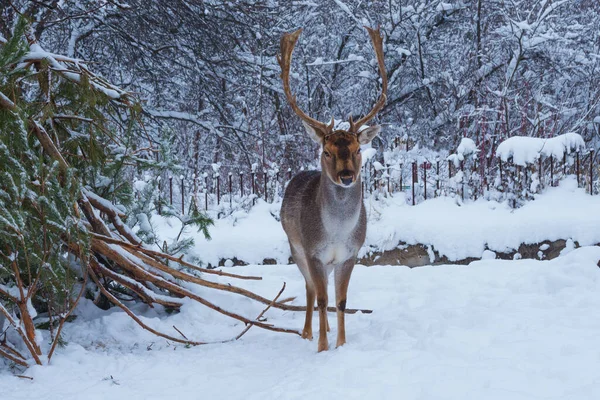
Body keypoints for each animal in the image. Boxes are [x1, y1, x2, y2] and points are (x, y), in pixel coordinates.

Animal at [278, 26, 390, 352]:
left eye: (357, 149)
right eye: (326, 151)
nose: (346, 175)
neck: (338, 231)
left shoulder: (350, 254)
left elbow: (340, 301)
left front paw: (340, 344)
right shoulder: (313, 251)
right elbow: (321, 297)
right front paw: (322, 347)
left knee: (323, 293)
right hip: (295, 247)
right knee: (310, 290)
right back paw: (307, 332)